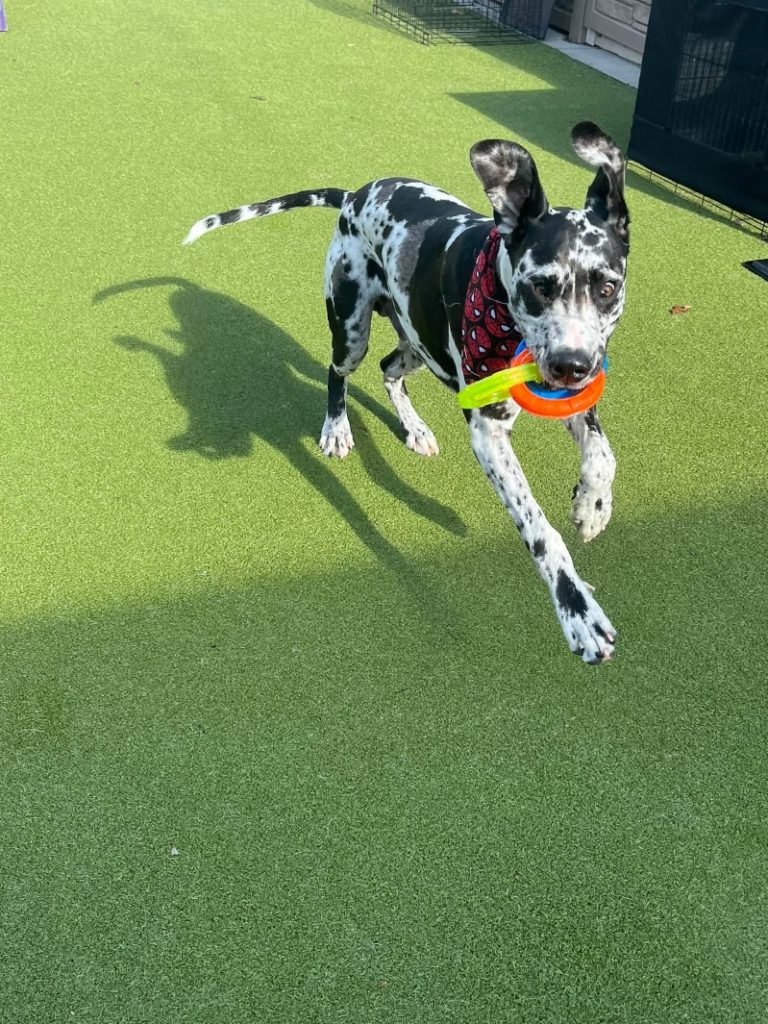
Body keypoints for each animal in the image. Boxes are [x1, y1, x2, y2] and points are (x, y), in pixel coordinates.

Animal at [186, 123, 630, 663]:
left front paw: (592, 508)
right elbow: (540, 530)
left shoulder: (572, 394)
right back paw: (337, 428)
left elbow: (603, 454)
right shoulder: (488, 434)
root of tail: (355, 195)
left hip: (419, 342)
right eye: (540, 286)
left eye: (607, 287)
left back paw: (414, 427)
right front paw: (577, 611)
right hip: (353, 330)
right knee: (338, 372)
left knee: (388, 370)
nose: (572, 366)